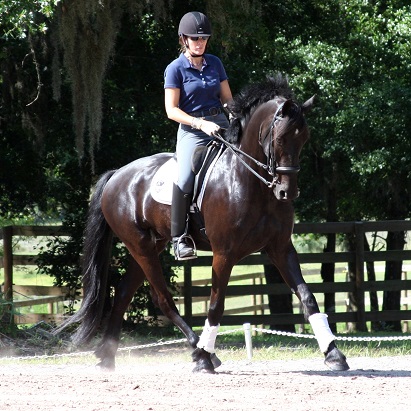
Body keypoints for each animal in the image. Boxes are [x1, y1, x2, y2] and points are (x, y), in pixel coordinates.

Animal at [58, 74, 350, 374]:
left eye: (304, 138)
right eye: (279, 139)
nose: (286, 192)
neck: (250, 181)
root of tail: (118, 174)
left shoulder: (280, 248)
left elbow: (307, 296)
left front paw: (333, 354)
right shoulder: (224, 253)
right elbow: (216, 305)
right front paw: (203, 358)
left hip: (149, 246)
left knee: (124, 291)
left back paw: (107, 356)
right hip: (141, 246)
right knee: (162, 298)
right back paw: (198, 351)